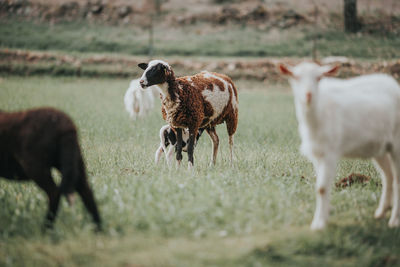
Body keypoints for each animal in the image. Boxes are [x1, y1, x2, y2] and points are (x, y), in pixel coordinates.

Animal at [280, 62, 400, 230]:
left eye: (319, 78)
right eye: (295, 77)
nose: (309, 95)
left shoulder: (330, 153)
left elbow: (323, 187)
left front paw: (319, 224)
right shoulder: (318, 154)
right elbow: (320, 187)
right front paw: (323, 217)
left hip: (397, 142)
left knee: (397, 179)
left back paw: (394, 220)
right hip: (380, 147)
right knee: (388, 176)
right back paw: (381, 212)